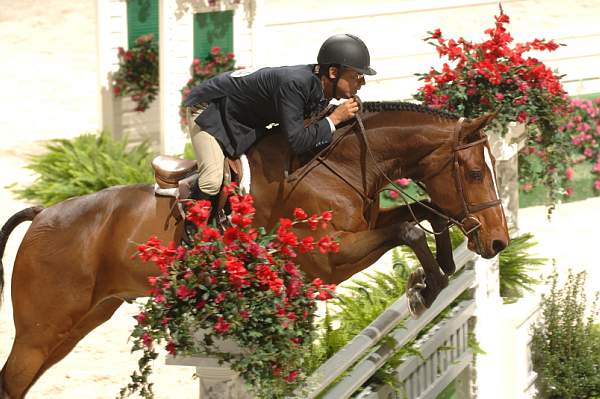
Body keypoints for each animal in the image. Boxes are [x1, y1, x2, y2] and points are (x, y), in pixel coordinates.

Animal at [0, 101, 508, 398]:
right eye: (475, 173)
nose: (497, 241)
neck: (341, 163)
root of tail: (42, 215)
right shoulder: (329, 259)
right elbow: (409, 230)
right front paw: (425, 288)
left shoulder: (365, 226)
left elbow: (423, 215)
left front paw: (436, 272)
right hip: (40, 332)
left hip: (81, 322)